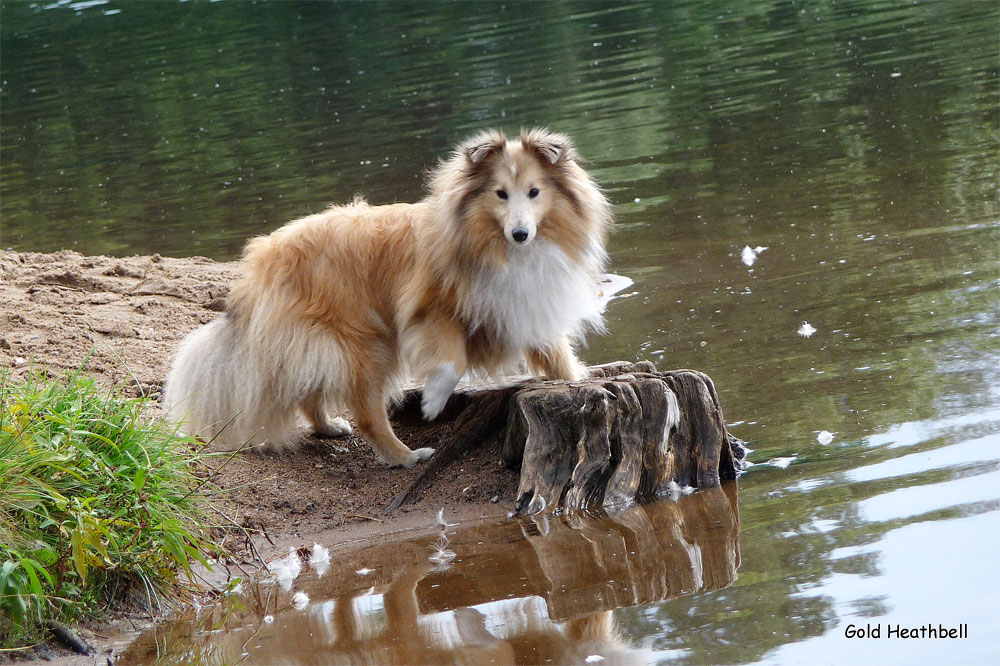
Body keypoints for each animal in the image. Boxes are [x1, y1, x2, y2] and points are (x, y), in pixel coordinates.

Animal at [166, 127, 608, 464]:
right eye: (500, 194)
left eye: (534, 192)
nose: (520, 233)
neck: (493, 246)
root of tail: (261, 261)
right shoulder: (431, 312)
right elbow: (451, 360)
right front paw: (432, 403)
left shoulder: (524, 307)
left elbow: (558, 357)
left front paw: (578, 381)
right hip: (366, 343)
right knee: (367, 413)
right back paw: (405, 456)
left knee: (309, 388)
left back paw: (328, 426)